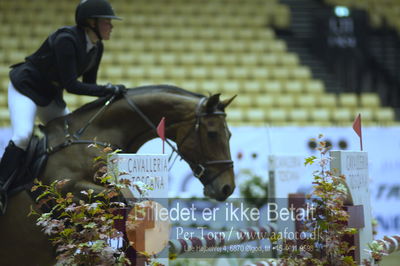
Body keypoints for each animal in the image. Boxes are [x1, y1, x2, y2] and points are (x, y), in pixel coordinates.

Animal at [0, 85, 234, 266]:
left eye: (229, 134)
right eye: (212, 134)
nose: (227, 188)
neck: (95, 135)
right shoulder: (66, 188)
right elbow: (122, 202)